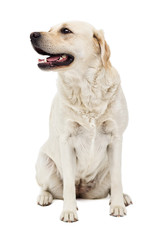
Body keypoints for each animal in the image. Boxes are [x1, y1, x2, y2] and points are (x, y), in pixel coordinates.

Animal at [30, 21, 132, 223]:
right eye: (50, 29)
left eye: (65, 30)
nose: (32, 34)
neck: (85, 87)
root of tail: (83, 191)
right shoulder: (66, 140)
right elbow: (69, 184)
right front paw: (69, 210)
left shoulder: (116, 138)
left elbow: (117, 179)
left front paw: (117, 205)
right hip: (44, 162)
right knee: (47, 186)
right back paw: (44, 197)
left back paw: (123, 197)